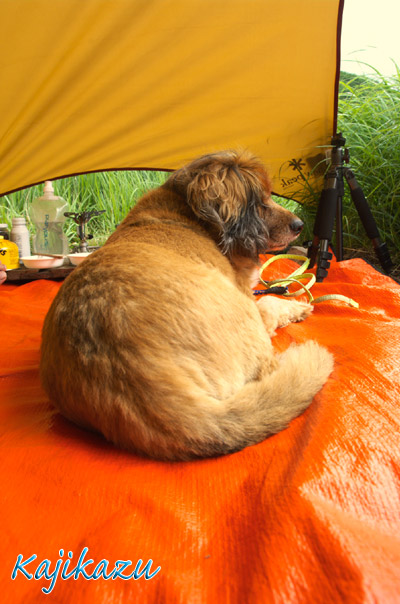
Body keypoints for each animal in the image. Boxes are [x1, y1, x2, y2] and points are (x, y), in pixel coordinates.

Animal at [41, 150, 334, 458]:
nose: (300, 225)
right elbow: (268, 300)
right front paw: (298, 306)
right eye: (262, 198)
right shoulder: (248, 298)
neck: (189, 212)